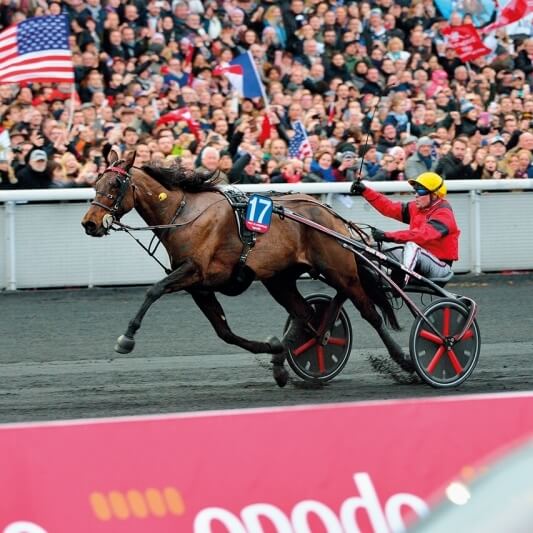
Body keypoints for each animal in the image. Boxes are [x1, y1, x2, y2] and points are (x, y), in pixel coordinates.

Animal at [81, 150, 412, 386]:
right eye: (96, 184)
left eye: (115, 184)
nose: (89, 223)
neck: (184, 213)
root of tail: (330, 214)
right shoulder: (199, 287)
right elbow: (225, 332)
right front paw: (273, 349)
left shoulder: (194, 271)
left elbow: (153, 291)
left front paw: (127, 338)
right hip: (279, 279)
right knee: (306, 313)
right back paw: (289, 360)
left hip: (339, 270)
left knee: (368, 311)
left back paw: (405, 361)